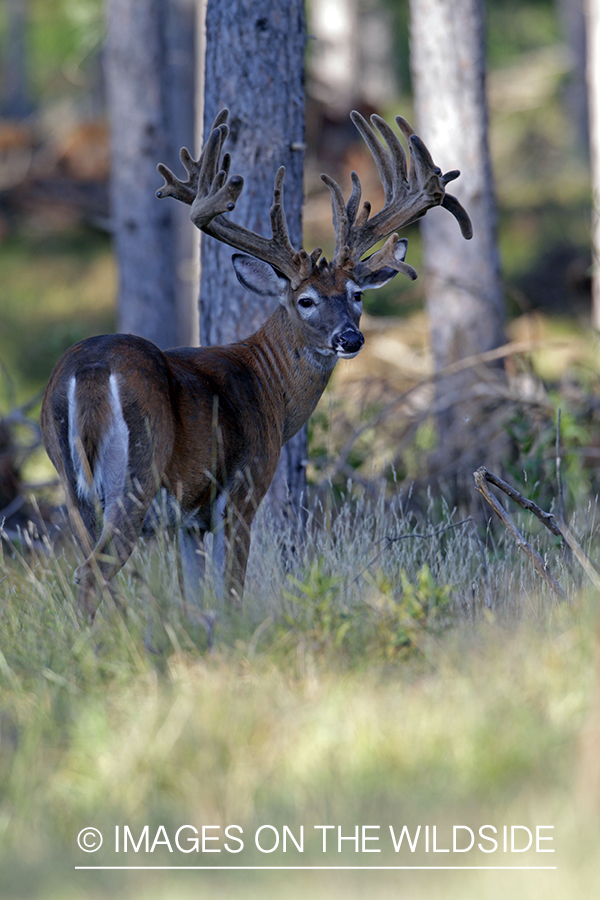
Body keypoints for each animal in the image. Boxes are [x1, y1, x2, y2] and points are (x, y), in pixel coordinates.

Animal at [41, 109, 474, 620]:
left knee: (89, 568)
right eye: (306, 300)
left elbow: (196, 596)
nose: (350, 338)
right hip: (137, 474)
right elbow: (231, 590)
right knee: (92, 573)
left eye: (356, 295)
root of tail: (89, 371)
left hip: (71, 484)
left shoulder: (189, 520)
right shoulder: (242, 491)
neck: (270, 391)